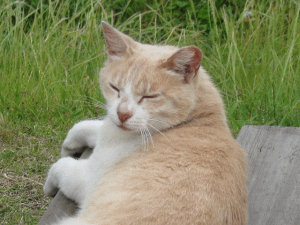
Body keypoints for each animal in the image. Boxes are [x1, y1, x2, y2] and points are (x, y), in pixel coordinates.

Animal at [43, 21, 247, 225]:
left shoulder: (87, 177)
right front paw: (69, 146)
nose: (123, 113)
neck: (199, 118)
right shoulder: (109, 127)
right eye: (115, 88)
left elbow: (59, 166)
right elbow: (85, 126)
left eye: (149, 97)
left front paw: (49, 187)